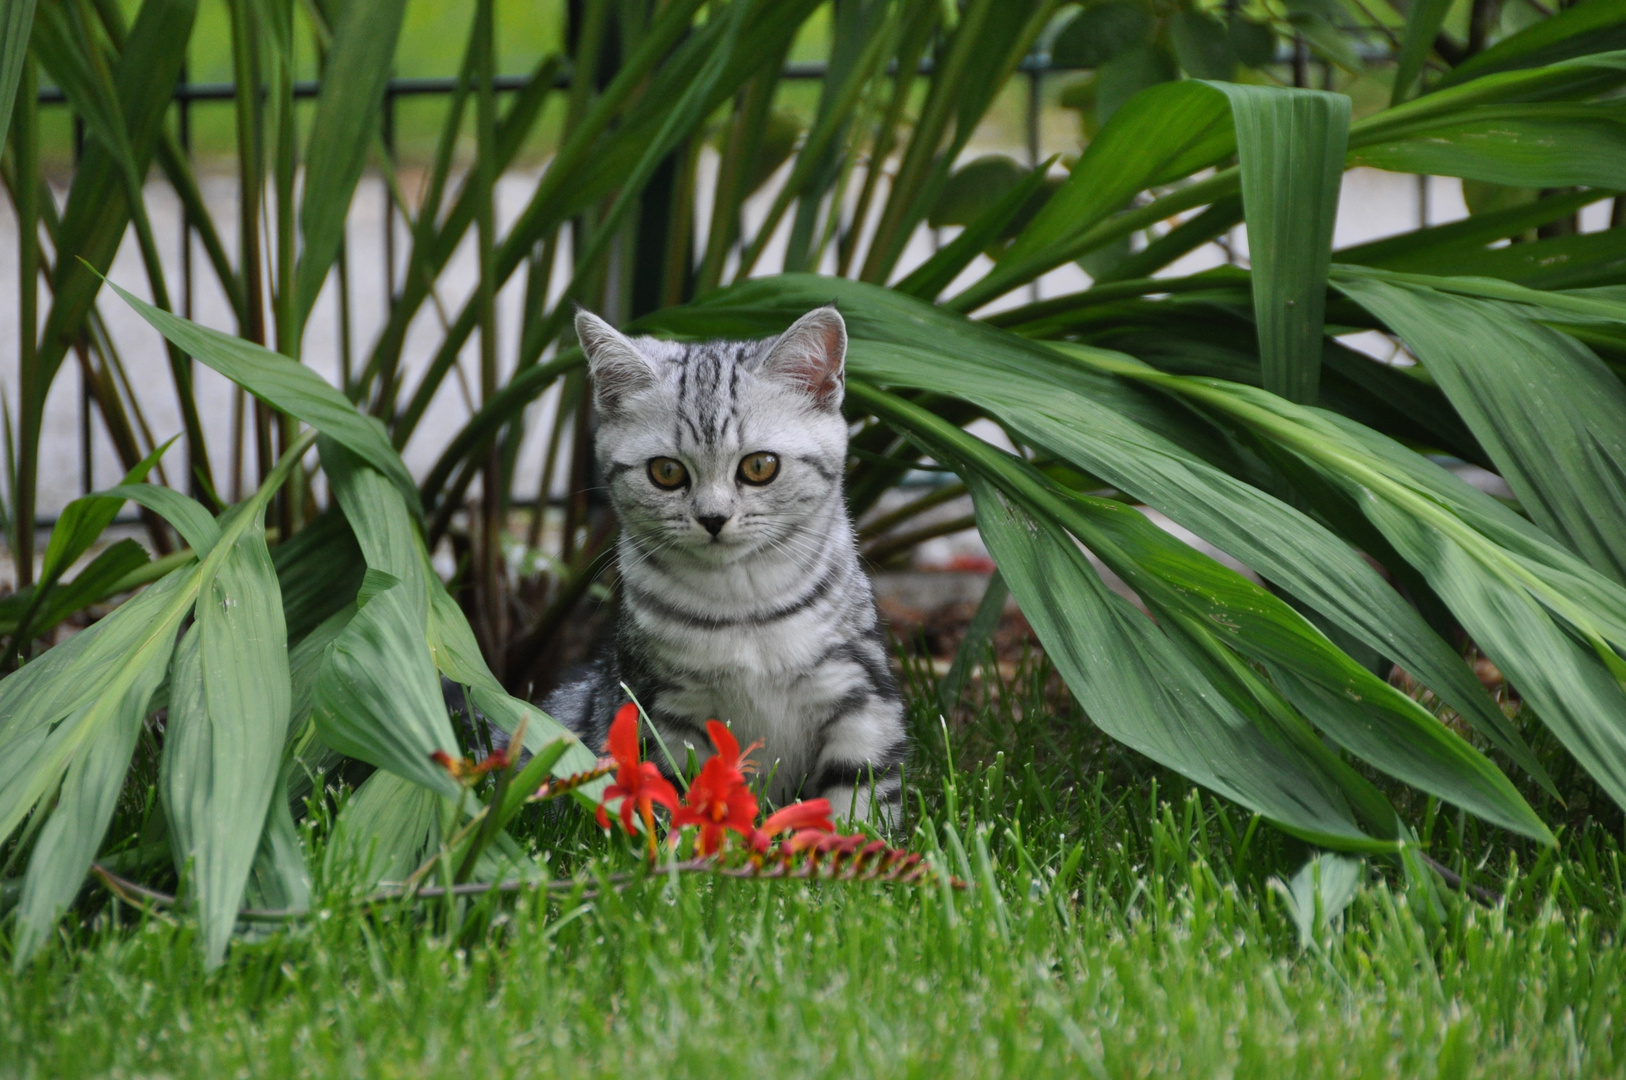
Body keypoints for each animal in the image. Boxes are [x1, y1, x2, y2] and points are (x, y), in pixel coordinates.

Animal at [539, 299, 910, 823]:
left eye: (759, 466)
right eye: (666, 472)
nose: (713, 518)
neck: (744, 604)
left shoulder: (859, 695)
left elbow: (858, 797)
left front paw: (848, 842)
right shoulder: (666, 710)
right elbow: (675, 795)